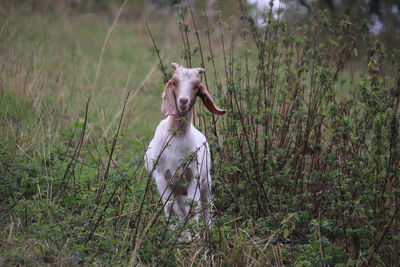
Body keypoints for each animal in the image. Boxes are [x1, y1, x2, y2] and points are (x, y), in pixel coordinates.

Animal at [145, 62, 227, 241]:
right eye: (175, 82)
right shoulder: (162, 177)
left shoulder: (193, 176)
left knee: (206, 205)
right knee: (180, 208)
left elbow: (193, 206)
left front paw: (196, 238)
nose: (183, 101)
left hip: (205, 181)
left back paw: (208, 232)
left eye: (196, 87)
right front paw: (175, 237)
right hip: (177, 187)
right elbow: (170, 207)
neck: (177, 137)